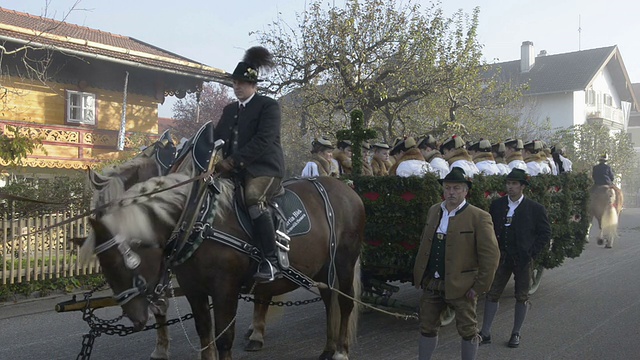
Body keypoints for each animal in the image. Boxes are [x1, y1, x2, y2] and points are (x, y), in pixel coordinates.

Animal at [79, 155, 364, 360]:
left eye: (126, 260)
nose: (135, 318)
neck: (198, 220)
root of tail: (345, 189)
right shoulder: (193, 289)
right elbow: (205, 336)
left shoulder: (224, 289)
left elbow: (224, 338)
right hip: (323, 267)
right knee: (329, 298)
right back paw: (328, 348)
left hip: (344, 262)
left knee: (345, 302)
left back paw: (340, 351)